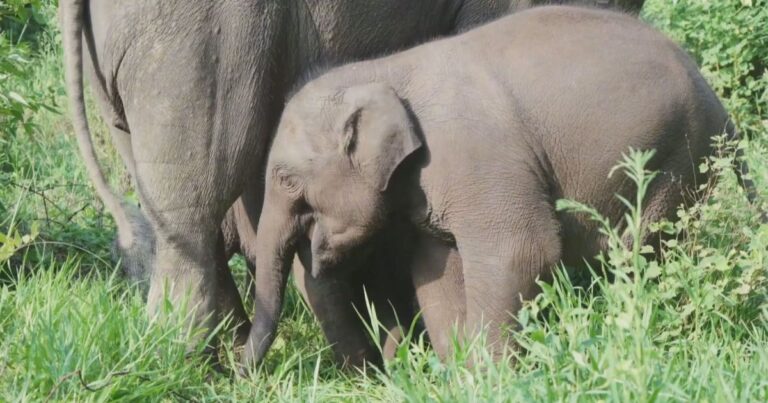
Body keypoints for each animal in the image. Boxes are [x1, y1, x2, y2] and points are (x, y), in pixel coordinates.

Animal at [247, 5, 761, 364]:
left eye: (286, 179)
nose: (241, 370)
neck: (382, 70)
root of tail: (719, 102)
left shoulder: (479, 159)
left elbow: (520, 252)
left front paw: (488, 373)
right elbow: (437, 271)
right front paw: (459, 373)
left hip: (677, 156)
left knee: (648, 250)